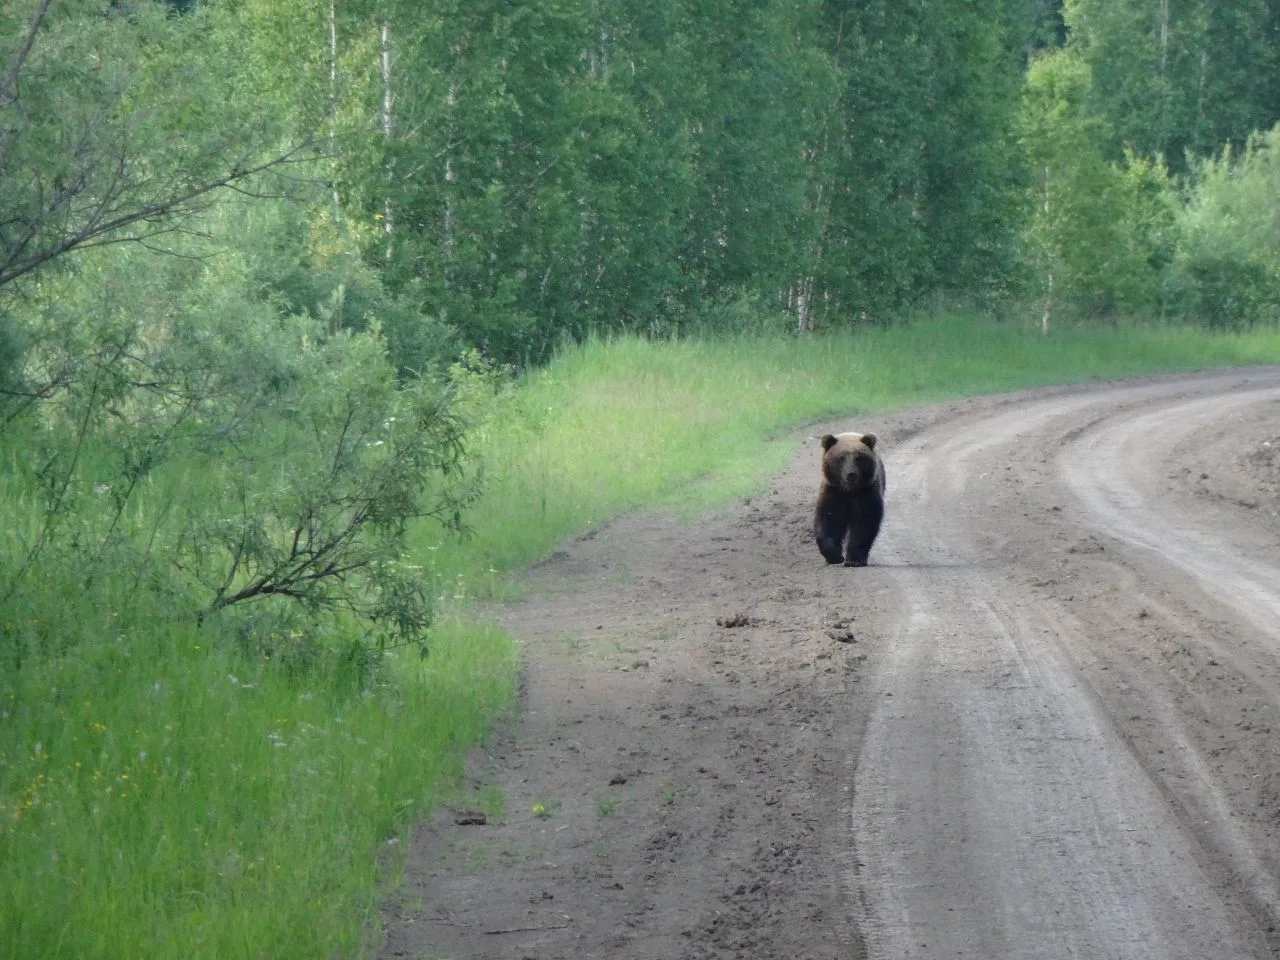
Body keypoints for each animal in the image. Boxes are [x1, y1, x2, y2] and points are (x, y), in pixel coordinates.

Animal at [813, 431, 886, 567]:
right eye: (841, 458)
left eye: (858, 458)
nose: (851, 474)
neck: (849, 490)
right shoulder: (833, 492)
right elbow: (828, 520)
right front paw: (835, 556)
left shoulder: (866, 492)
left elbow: (864, 523)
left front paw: (854, 560)